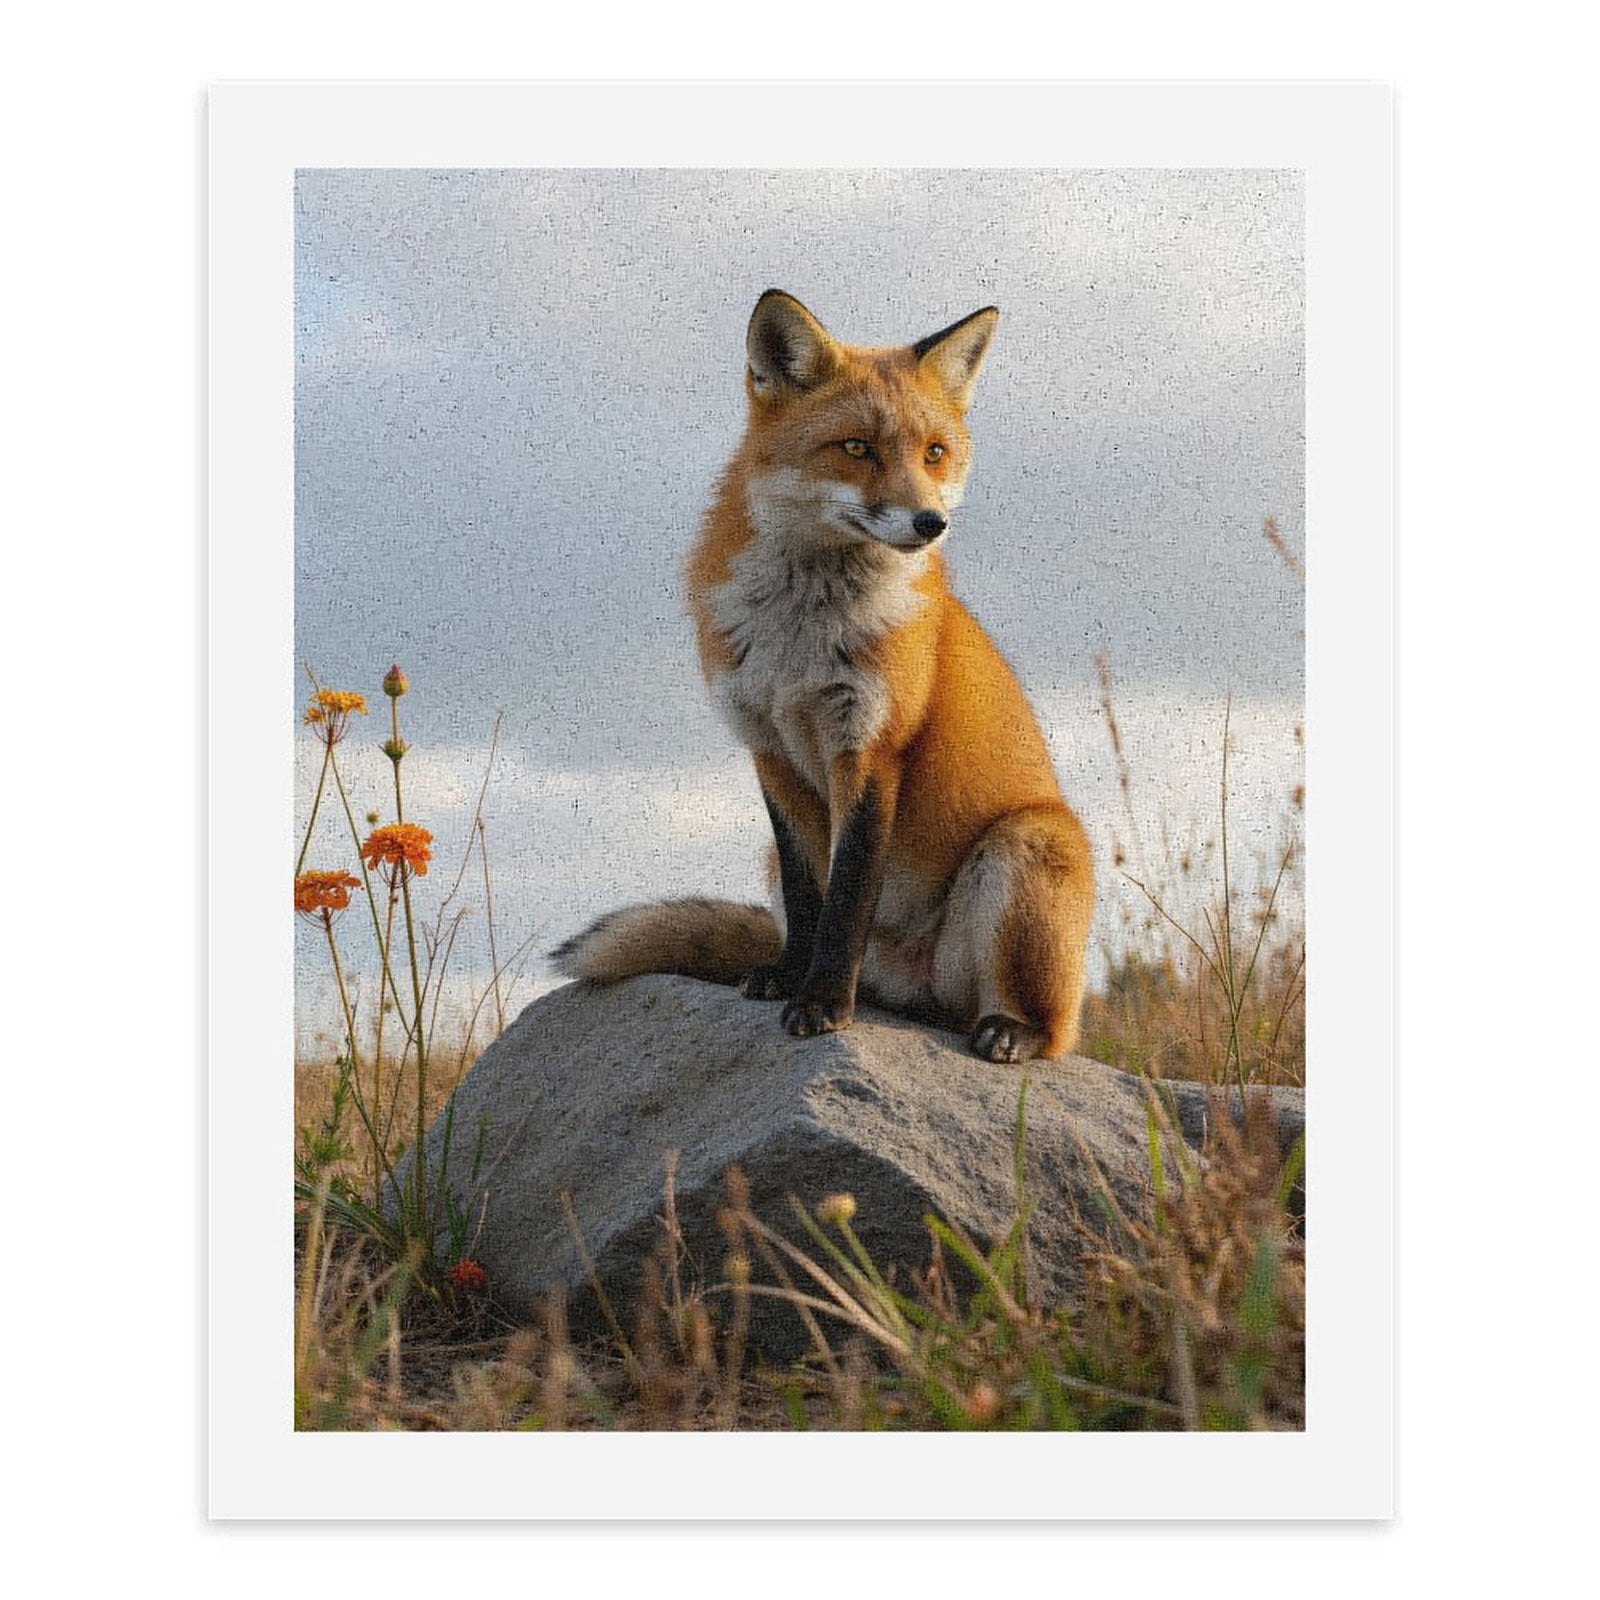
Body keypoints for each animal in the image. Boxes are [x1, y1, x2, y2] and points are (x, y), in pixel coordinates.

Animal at [553, 290, 1094, 1062]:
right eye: (857, 448)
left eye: (934, 453)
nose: (930, 523)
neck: (798, 642)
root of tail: (914, 989)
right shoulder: (771, 751)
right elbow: (812, 901)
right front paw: (789, 979)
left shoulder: (869, 747)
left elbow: (847, 902)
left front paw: (824, 1004)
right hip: (780, 866)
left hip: (1025, 845)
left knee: (1049, 1031)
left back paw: (1008, 1030)